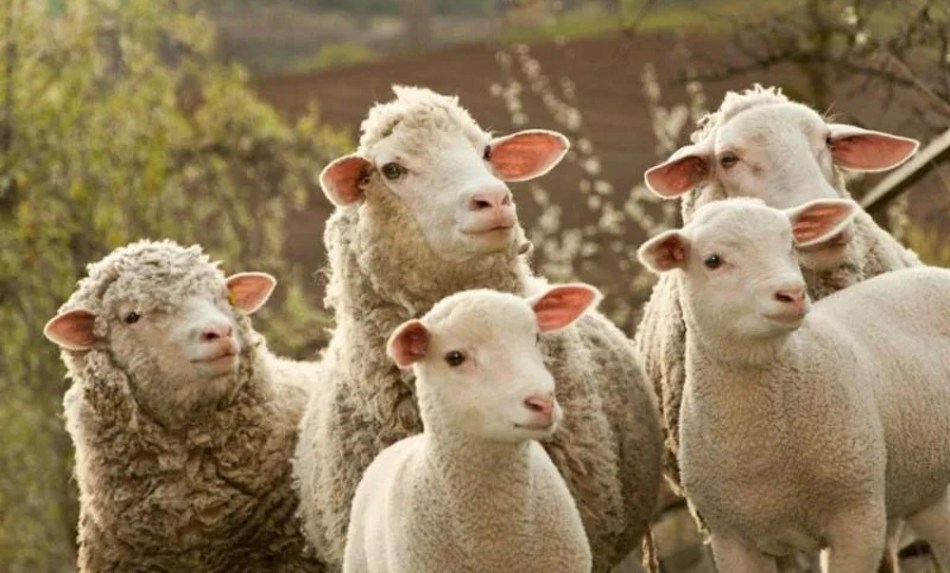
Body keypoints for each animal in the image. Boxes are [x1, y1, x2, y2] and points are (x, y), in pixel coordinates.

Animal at [637, 197, 950, 571]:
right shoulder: (732, 540)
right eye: (713, 260)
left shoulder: (858, 517)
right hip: (927, 489)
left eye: (790, 245)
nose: (792, 294)